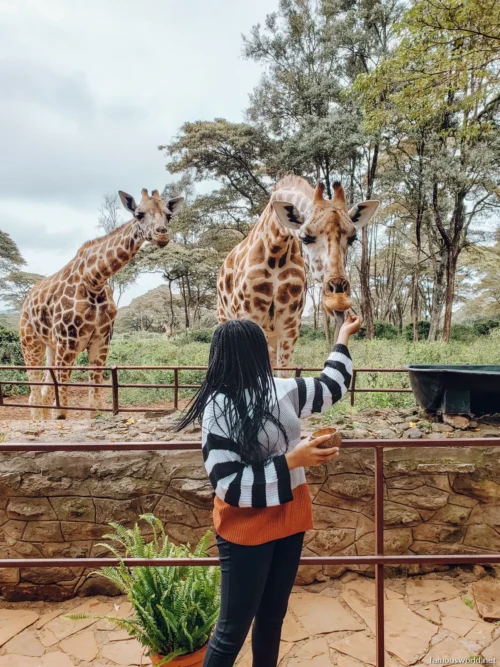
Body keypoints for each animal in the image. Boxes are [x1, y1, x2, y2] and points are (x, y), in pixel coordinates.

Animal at [20, 188, 184, 419]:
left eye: (169, 215)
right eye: (139, 214)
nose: (162, 235)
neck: (94, 279)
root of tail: (25, 303)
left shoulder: (101, 341)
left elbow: (95, 406)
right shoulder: (67, 342)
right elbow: (60, 411)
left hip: (50, 345)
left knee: (43, 392)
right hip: (30, 343)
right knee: (34, 394)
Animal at [217, 176, 379, 371]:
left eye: (352, 238)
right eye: (306, 238)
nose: (338, 299)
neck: (276, 252)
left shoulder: (291, 325)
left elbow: (282, 369)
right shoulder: (250, 317)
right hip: (224, 318)